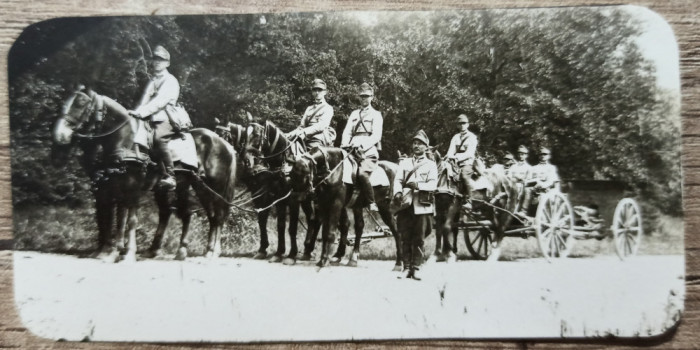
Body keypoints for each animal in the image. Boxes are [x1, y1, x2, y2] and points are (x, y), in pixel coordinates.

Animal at [52, 87, 237, 262]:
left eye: (81, 104)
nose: (59, 135)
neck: (125, 139)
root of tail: (225, 144)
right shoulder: (107, 187)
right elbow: (109, 217)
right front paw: (107, 251)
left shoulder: (131, 186)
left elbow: (128, 219)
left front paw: (125, 253)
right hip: (188, 186)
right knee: (189, 214)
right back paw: (176, 250)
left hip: (213, 189)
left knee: (217, 216)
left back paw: (212, 252)